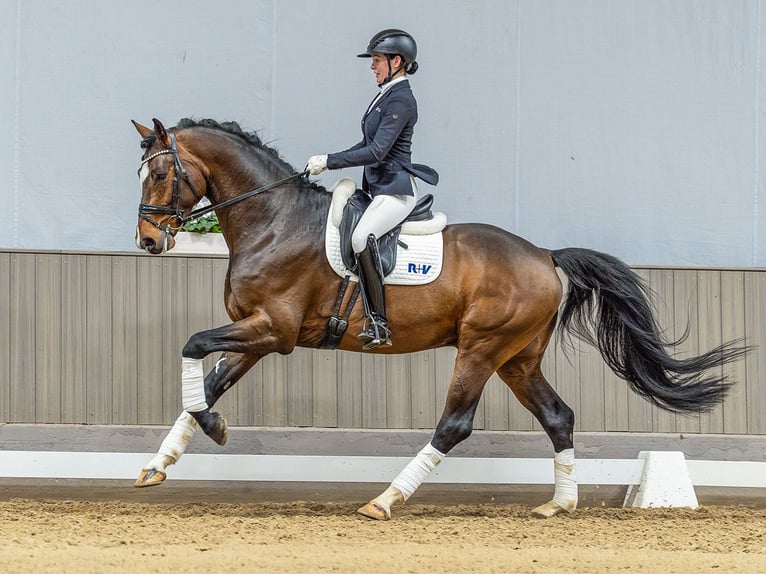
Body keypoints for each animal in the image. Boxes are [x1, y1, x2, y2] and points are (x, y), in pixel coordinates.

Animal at [132, 117, 748, 520]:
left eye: (160, 175)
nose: (147, 242)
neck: (273, 220)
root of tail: (544, 255)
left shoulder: (273, 331)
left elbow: (192, 347)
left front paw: (213, 429)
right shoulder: (257, 334)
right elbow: (207, 384)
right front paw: (160, 464)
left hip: (480, 349)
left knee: (454, 424)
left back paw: (385, 500)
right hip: (517, 359)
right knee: (559, 416)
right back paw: (559, 504)